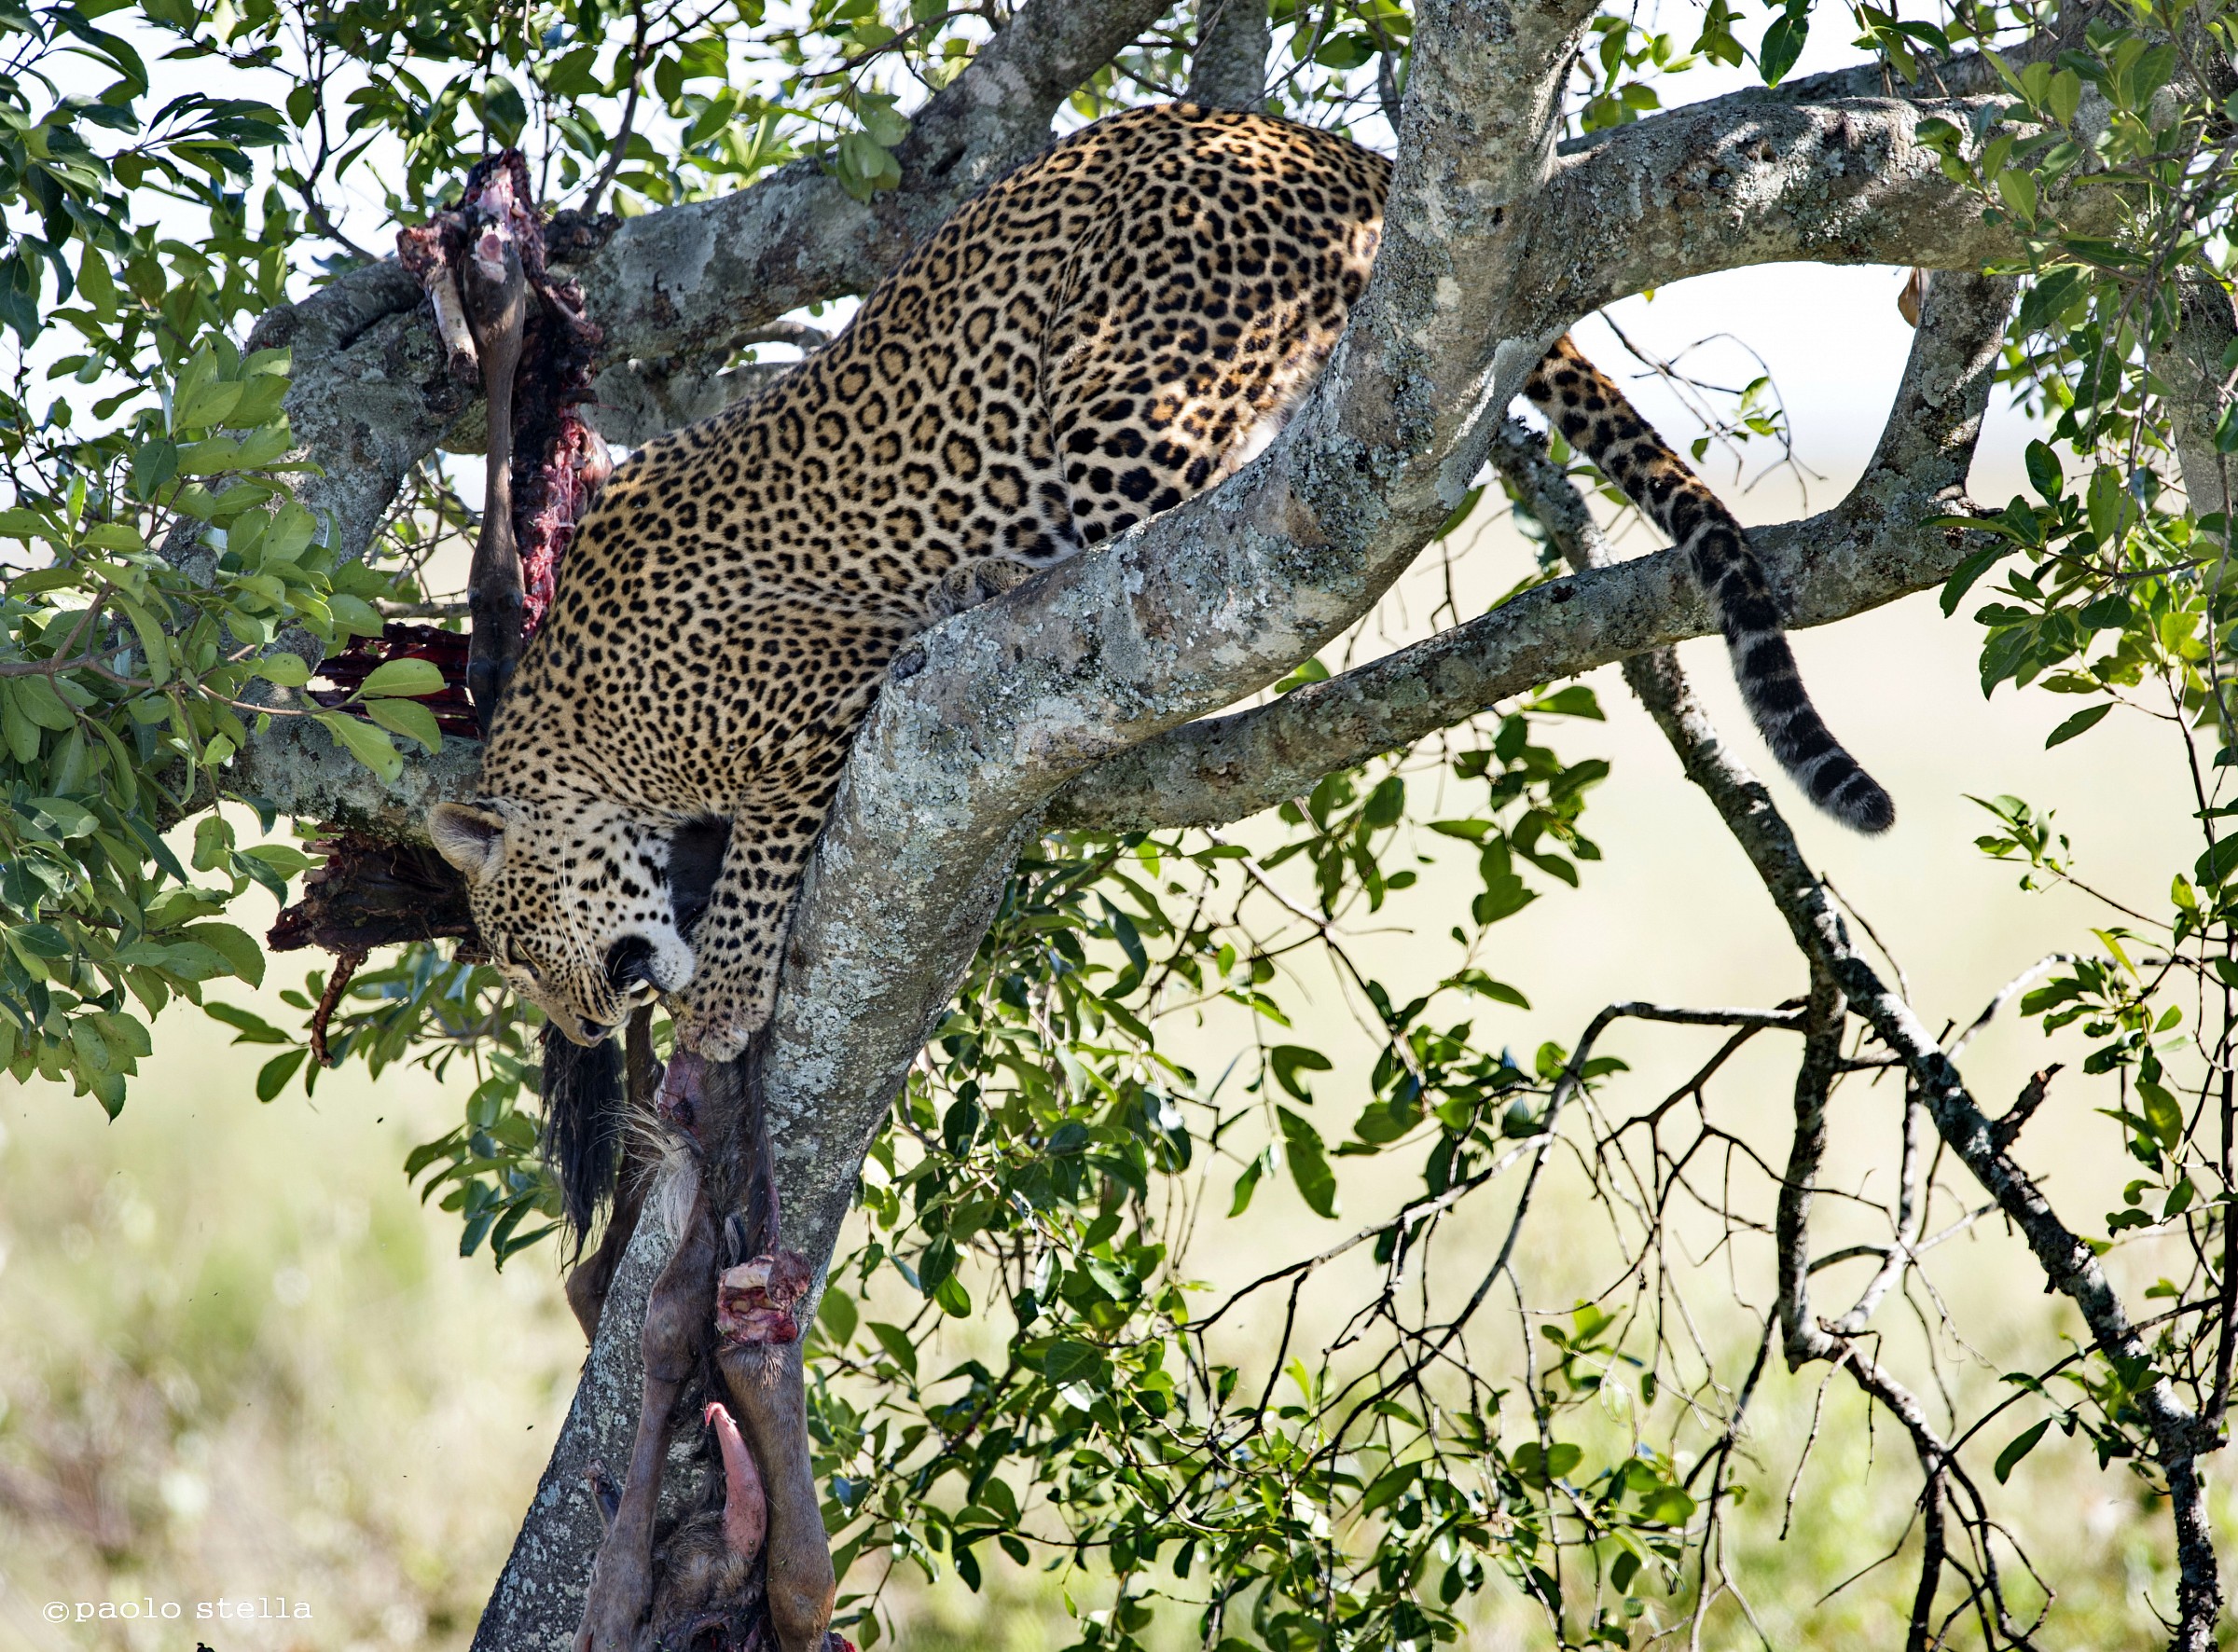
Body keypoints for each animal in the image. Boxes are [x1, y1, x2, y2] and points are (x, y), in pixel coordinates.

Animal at [428, 100, 1891, 1087]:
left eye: (518, 953)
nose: (584, 1028)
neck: (582, 731)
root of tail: (1320, 141)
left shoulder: (814, 695)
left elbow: (763, 858)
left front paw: (723, 998)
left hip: (1131, 388)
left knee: (1170, 533)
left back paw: (1000, 580)